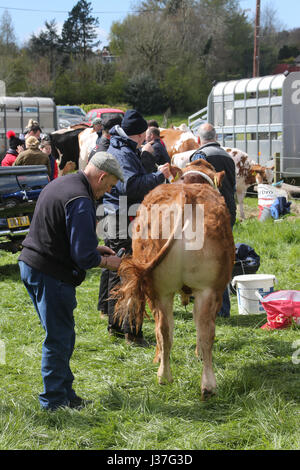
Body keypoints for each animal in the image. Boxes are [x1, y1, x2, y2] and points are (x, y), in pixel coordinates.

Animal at [113, 160, 236, 398]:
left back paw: (163, 375)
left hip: (158, 289)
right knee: (205, 332)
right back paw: (208, 385)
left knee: (164, 329)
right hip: (209, 289)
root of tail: (185, 195)